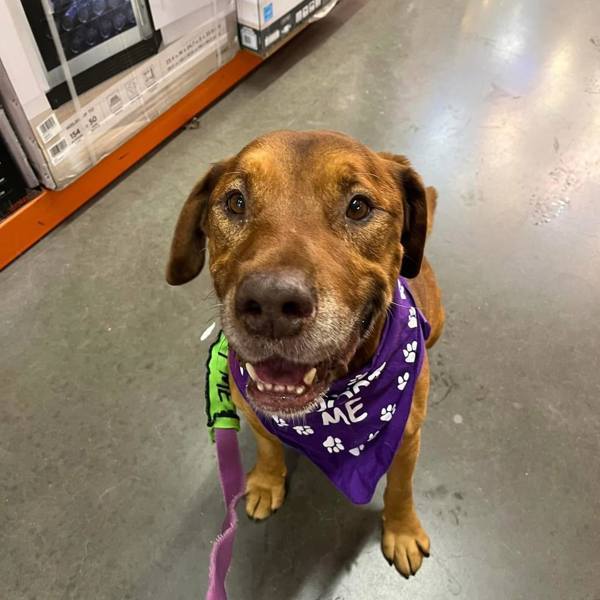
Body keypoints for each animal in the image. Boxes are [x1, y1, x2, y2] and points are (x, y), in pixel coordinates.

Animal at [166, 130, 442, 576]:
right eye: (235, 201)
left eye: (359, 206)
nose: (270, 304)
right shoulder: (252, 411)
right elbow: (266, 444)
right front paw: (266, 481)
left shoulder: (406, 437)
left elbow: (400, 487)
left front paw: (402, 530)